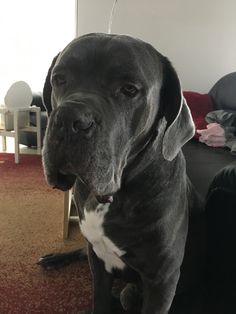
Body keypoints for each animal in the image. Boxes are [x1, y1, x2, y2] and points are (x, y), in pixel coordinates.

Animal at [39, 33, 206, 314]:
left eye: (129, 89)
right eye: (59, 79)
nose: (68, 118)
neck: (112, 198)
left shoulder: (162, 281)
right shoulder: (98, 262)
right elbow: (100, 300)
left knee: (127, 294)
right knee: (82, 250)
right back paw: (54, 258)